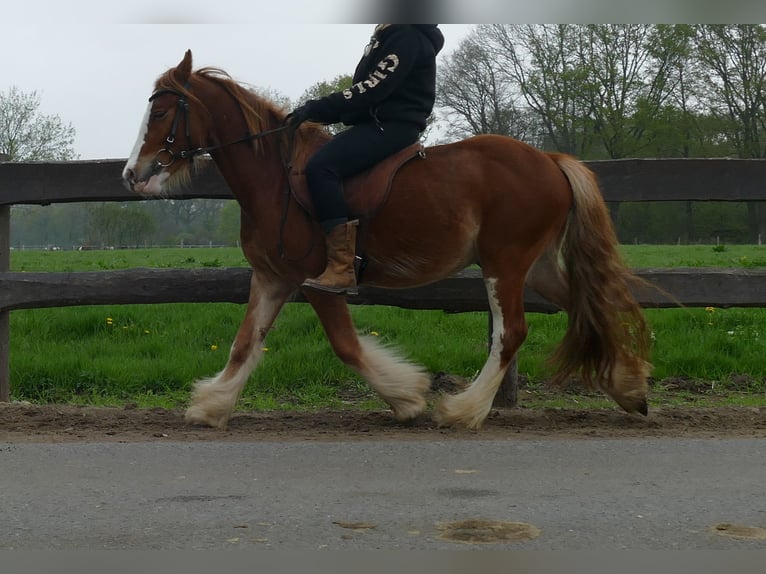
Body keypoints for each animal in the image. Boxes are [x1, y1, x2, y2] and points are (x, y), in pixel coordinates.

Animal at [122, 50, 651, 430]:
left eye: (163, 112)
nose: (132, 174)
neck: (274, 177)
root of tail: (550, 161)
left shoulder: (316, 283)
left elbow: (346, 347)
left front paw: (408, 398)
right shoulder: (272, 277)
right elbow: (245, 342)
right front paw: (211, 406)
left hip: (505, 262)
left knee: (512, 333)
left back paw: (463, 410)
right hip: (535, 265)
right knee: (587, 308)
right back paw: (629, 389)